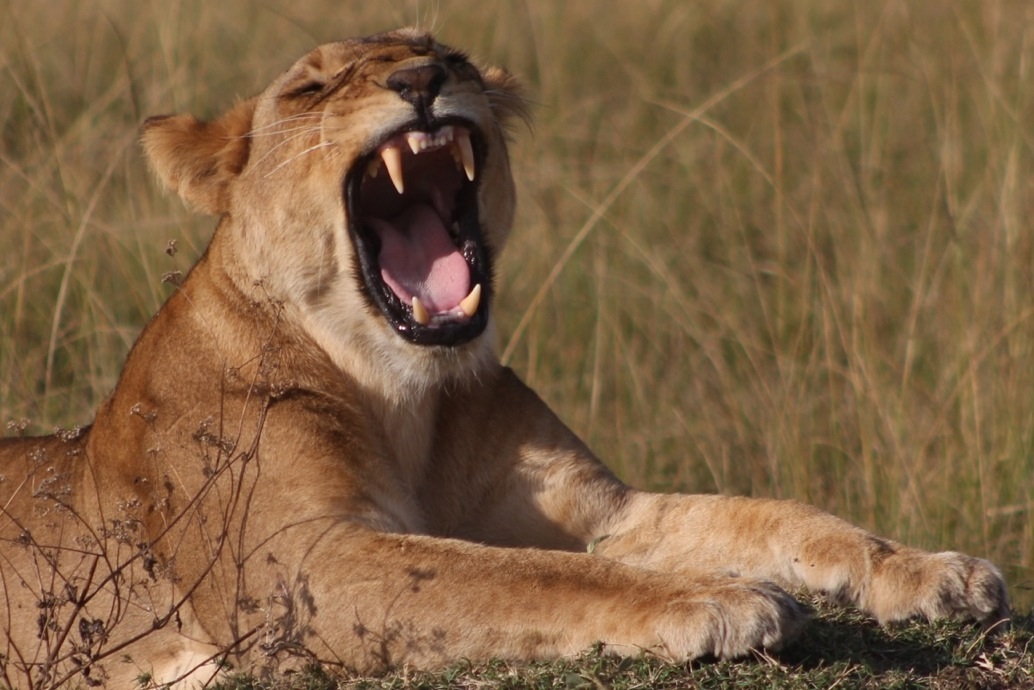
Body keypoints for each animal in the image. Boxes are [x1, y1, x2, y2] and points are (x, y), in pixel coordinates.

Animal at [0, 28, 1008, 689]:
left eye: (441, 49)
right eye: (311, 90)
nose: (422, 77)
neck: (403, 398)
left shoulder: (604, 512)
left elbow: (779, 518)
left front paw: (932, 572)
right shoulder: (294, 572)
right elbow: (518, 576)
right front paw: (719, 599)